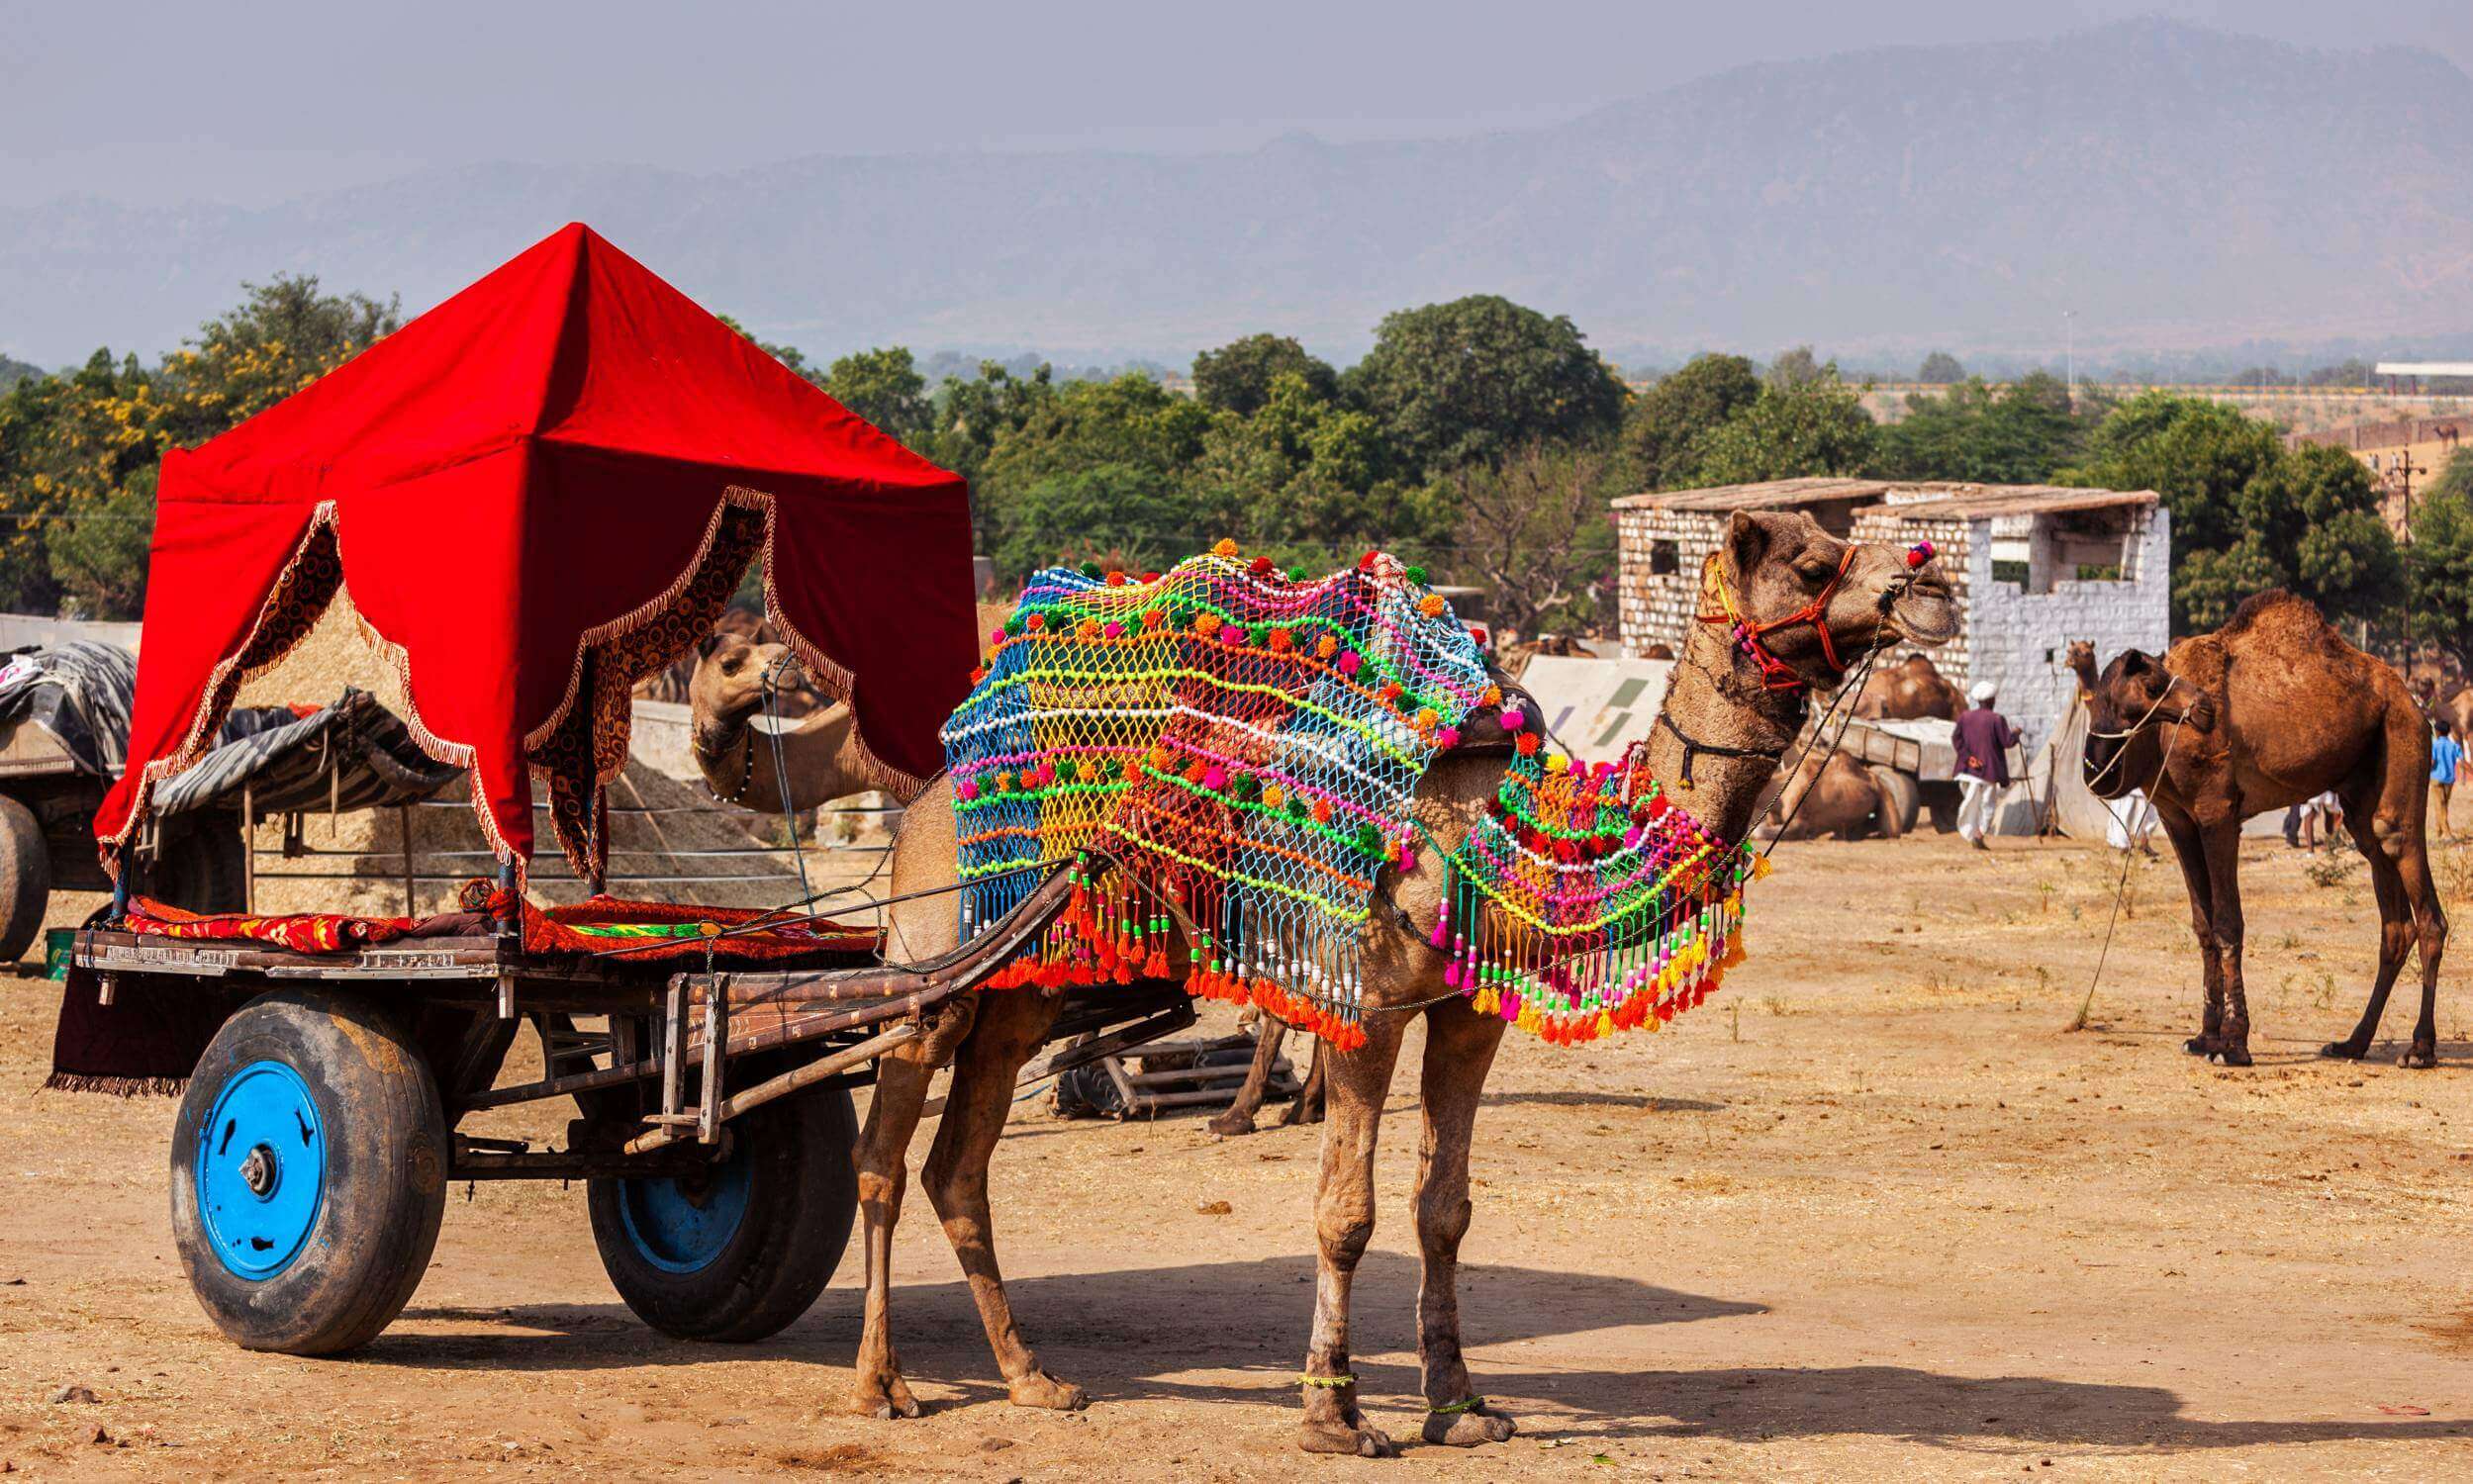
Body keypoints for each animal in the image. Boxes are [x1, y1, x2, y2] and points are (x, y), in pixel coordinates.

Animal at [840, 510, 1958, 1444]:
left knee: (958, 1167)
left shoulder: (1465, 1012)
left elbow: (1443, 1210)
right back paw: (880, 1385)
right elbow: (1348, 1213)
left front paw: (1460, 1408)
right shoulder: (1368, 1004)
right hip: (932, 966)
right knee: (883, 1158)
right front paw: (1334, 1417)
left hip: (1021, 992)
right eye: (1811, 563)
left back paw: (1032, 1378)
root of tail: (925, 795)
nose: (1934, 584)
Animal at [2077, 591, 2443, 1068]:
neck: (2155, 742)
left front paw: (2233, 1045)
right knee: (2394, 922)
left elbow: (2227, 924)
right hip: (2362, 795)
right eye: (2154, 687)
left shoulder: (2217, 812)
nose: (2206, 709)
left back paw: (2419, 1048)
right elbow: (2202, 925)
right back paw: (2353, 1042)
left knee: (2418, 888)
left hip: (2402, 740)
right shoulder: (2178, 819)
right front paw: (2203, 1037)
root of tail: (2413, 700)